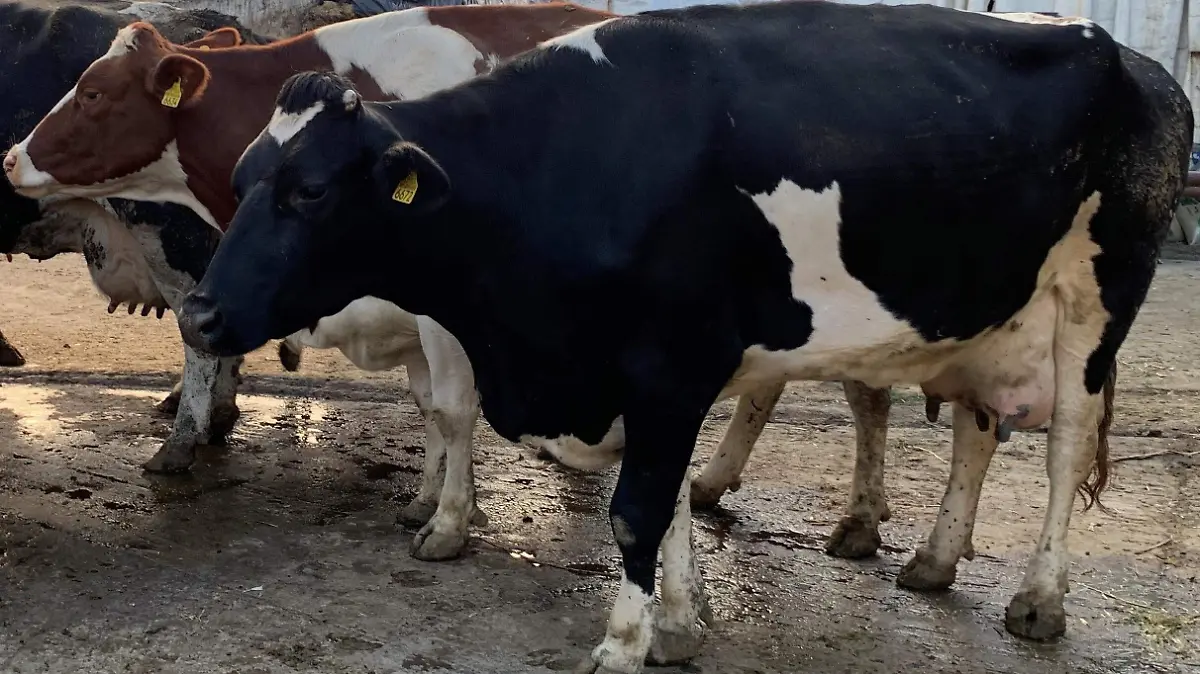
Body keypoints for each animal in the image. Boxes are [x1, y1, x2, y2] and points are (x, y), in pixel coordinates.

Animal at [2, 2, 904, 563]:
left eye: (91, 91)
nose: (10, 155)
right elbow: (429, 406)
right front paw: (434, 498)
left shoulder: (445, 304)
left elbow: (450, 406)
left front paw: (449, 523)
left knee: (868, 393)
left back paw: (873, 529)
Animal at [166, 0, 1189, 668]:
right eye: (246, 177)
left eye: (309, 192)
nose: (202, 312)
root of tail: (1134, 61)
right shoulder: (653, 377)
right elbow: (663, 508)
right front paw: (681, 624)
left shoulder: (670, 364)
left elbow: (636, 510)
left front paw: (624, 642)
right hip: (983, 313)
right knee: (977, 429)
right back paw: (934, 560)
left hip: (1094, 303)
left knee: (1062, 447)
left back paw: (1040, 600)